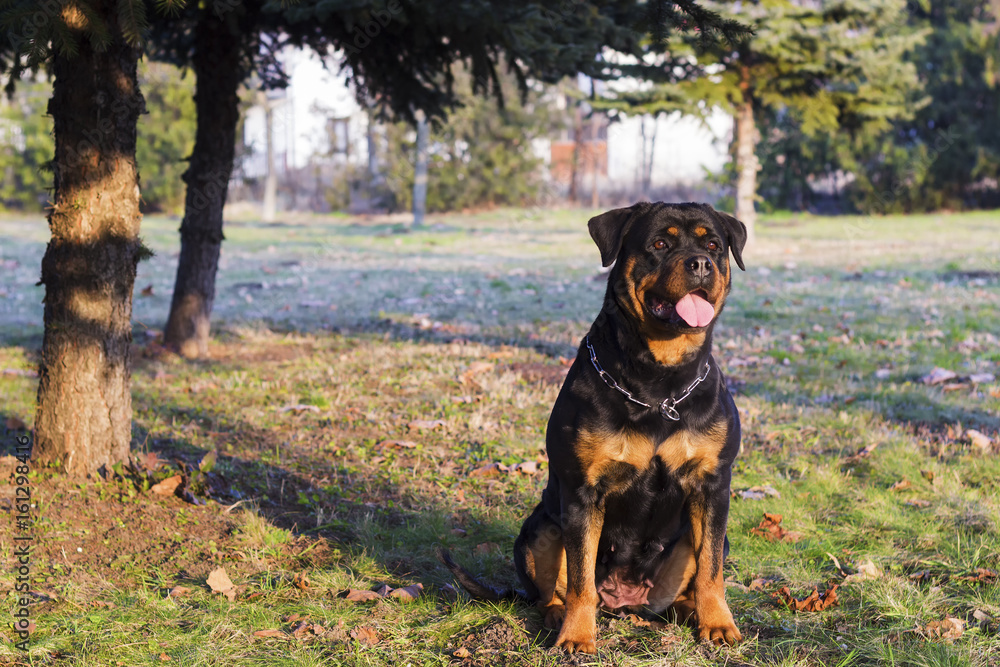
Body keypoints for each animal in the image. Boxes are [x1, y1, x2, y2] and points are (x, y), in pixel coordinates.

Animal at [442, 202, 748, 652]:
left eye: (713, 245)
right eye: (660, 244)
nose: (700, 263)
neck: (660, 382)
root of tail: (623, 603)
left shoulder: (712, 485)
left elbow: (711, 570)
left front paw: (719, 625)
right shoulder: (583, 491)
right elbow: (580, 577)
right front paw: (576, 636)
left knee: (689, 581)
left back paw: (688, 611)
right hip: (540, 528)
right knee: (550, 590)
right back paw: (557, 616)